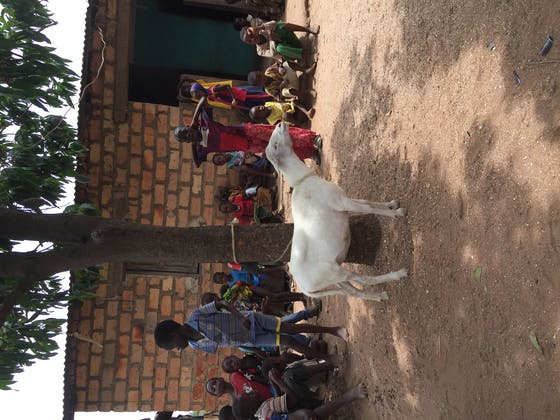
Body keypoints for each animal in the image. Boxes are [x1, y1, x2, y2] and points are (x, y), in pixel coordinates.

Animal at [265, 122, 408, 301]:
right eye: (275, 146)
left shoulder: (343, 198)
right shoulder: (340, 203)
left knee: (354, 291)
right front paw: (397, 213)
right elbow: (368, 208)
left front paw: (392, 204)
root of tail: (304, 287)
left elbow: (367, 202)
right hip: (334, 273)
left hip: (336, 277)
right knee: (363, 279)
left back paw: (379, 296)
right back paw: (399, 274)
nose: (280, 124)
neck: (304, 181)